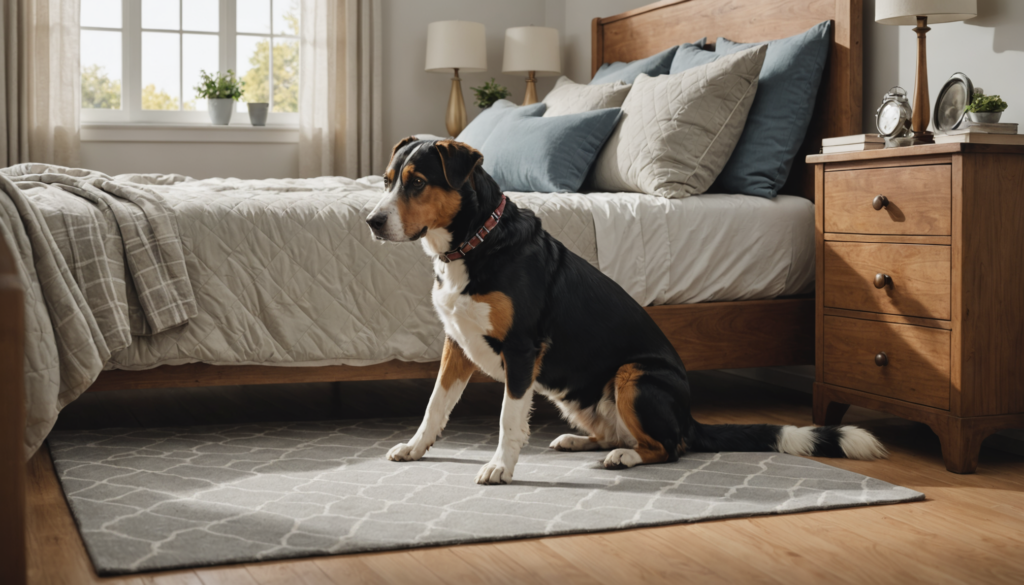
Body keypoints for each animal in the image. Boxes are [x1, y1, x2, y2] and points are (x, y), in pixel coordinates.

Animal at [368, 137, 888, 485]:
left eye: (418, 183)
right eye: (388, 182)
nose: (372, 221)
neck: (475, 244)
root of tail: (689, 416)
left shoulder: (520, 350)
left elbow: (507, 419)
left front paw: (500, 465)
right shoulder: (456, 343)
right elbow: (435, 406)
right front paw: (415, 448)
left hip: (634, 377)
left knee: (668, 448)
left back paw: (626, 458)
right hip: (582, 396)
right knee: (620, 435)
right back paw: (579, 442)